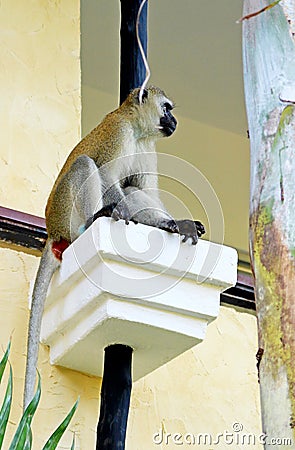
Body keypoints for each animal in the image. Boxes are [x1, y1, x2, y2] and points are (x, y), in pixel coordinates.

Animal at [23, 85, 206, 412]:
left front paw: (173, 224)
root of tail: (53, 232)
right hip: (67, 216)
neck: (137, 130)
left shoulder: (147, 148)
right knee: (86, 165)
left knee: (130, 187)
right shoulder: (117, 134)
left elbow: (142, 190)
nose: (174, 121)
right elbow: (108, 176)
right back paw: (97, 218)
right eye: (167, 108)